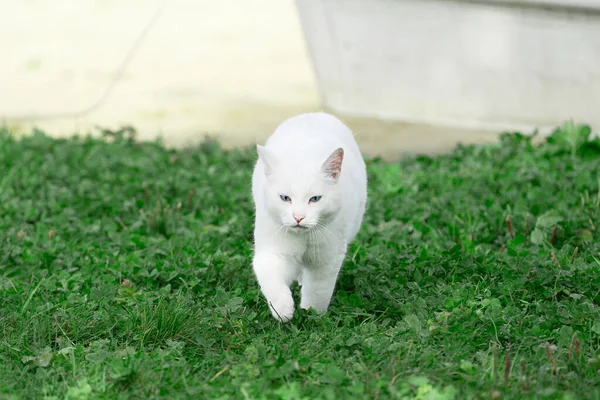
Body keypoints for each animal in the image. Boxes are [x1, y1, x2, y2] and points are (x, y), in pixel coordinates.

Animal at [251, 111, 368, 322]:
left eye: (315, 199)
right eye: (285, 198)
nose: (298, 217)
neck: (304, 237)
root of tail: (316, 113)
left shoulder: (327, 260)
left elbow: (317, 293)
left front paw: (311, 316)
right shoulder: (273, 252)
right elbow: (271, 279)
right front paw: (283, 311)